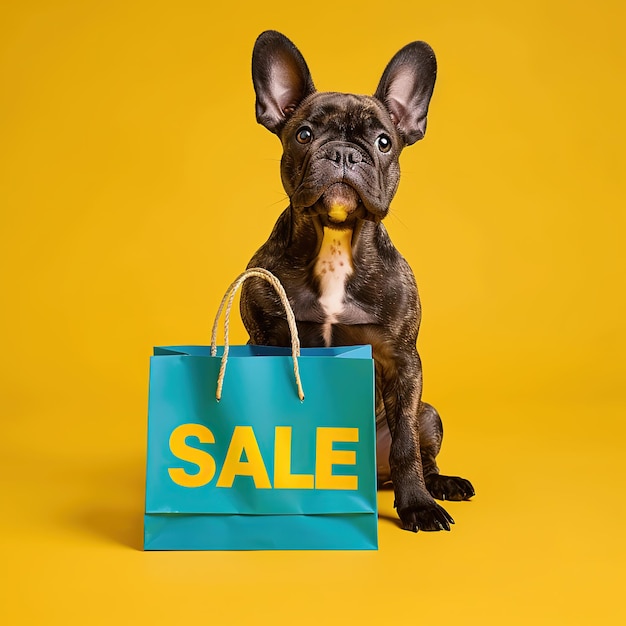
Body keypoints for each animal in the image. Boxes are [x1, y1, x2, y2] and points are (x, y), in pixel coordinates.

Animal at [239, 26, 472, 528]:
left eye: (384, 142)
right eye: (304, 134)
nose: (345, 153)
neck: (335, 244)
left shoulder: (402, 360)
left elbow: (406, 446)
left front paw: (417, 505)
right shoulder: (267, 341)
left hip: (429, 413)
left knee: (420, 449)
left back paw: (439, 485)